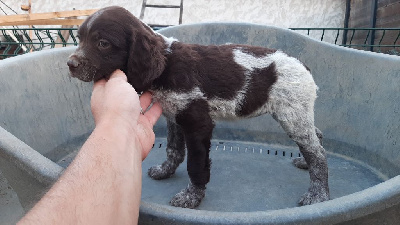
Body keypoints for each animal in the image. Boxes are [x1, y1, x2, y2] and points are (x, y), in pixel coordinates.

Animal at [69, 5, 330, 209]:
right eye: (79, 38)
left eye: (103, 43)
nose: (70, 64)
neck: (165, 64)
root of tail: (303, 66)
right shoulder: (173, 115)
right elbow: (173, 149)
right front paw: (165, 170)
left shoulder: (197, 122)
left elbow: (195, 164)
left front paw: (191, 196)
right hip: (297, 114)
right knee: (316, 137)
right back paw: (305, 163)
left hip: (291, 114)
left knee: (318, 153)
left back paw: (318, 194)